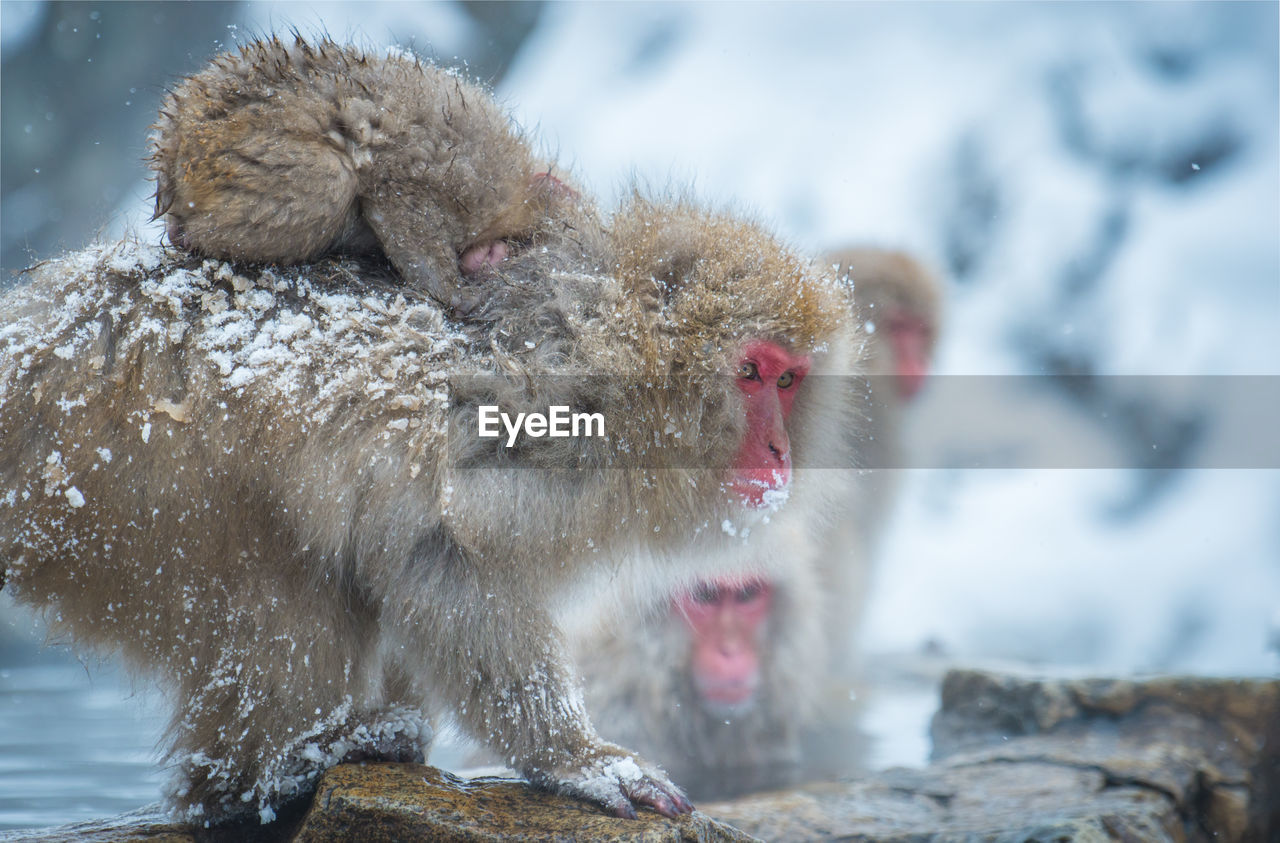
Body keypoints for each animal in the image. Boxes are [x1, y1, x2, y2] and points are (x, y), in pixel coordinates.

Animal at [2, 37, 860, 823]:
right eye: (751, 374)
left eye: (789, 380)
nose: (780, 450)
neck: (621, 368)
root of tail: (39, 329)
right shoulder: (533, 416)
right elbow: (438, 554)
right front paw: (574, 758)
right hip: (126, 481)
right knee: (275, 581)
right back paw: (264, 774)